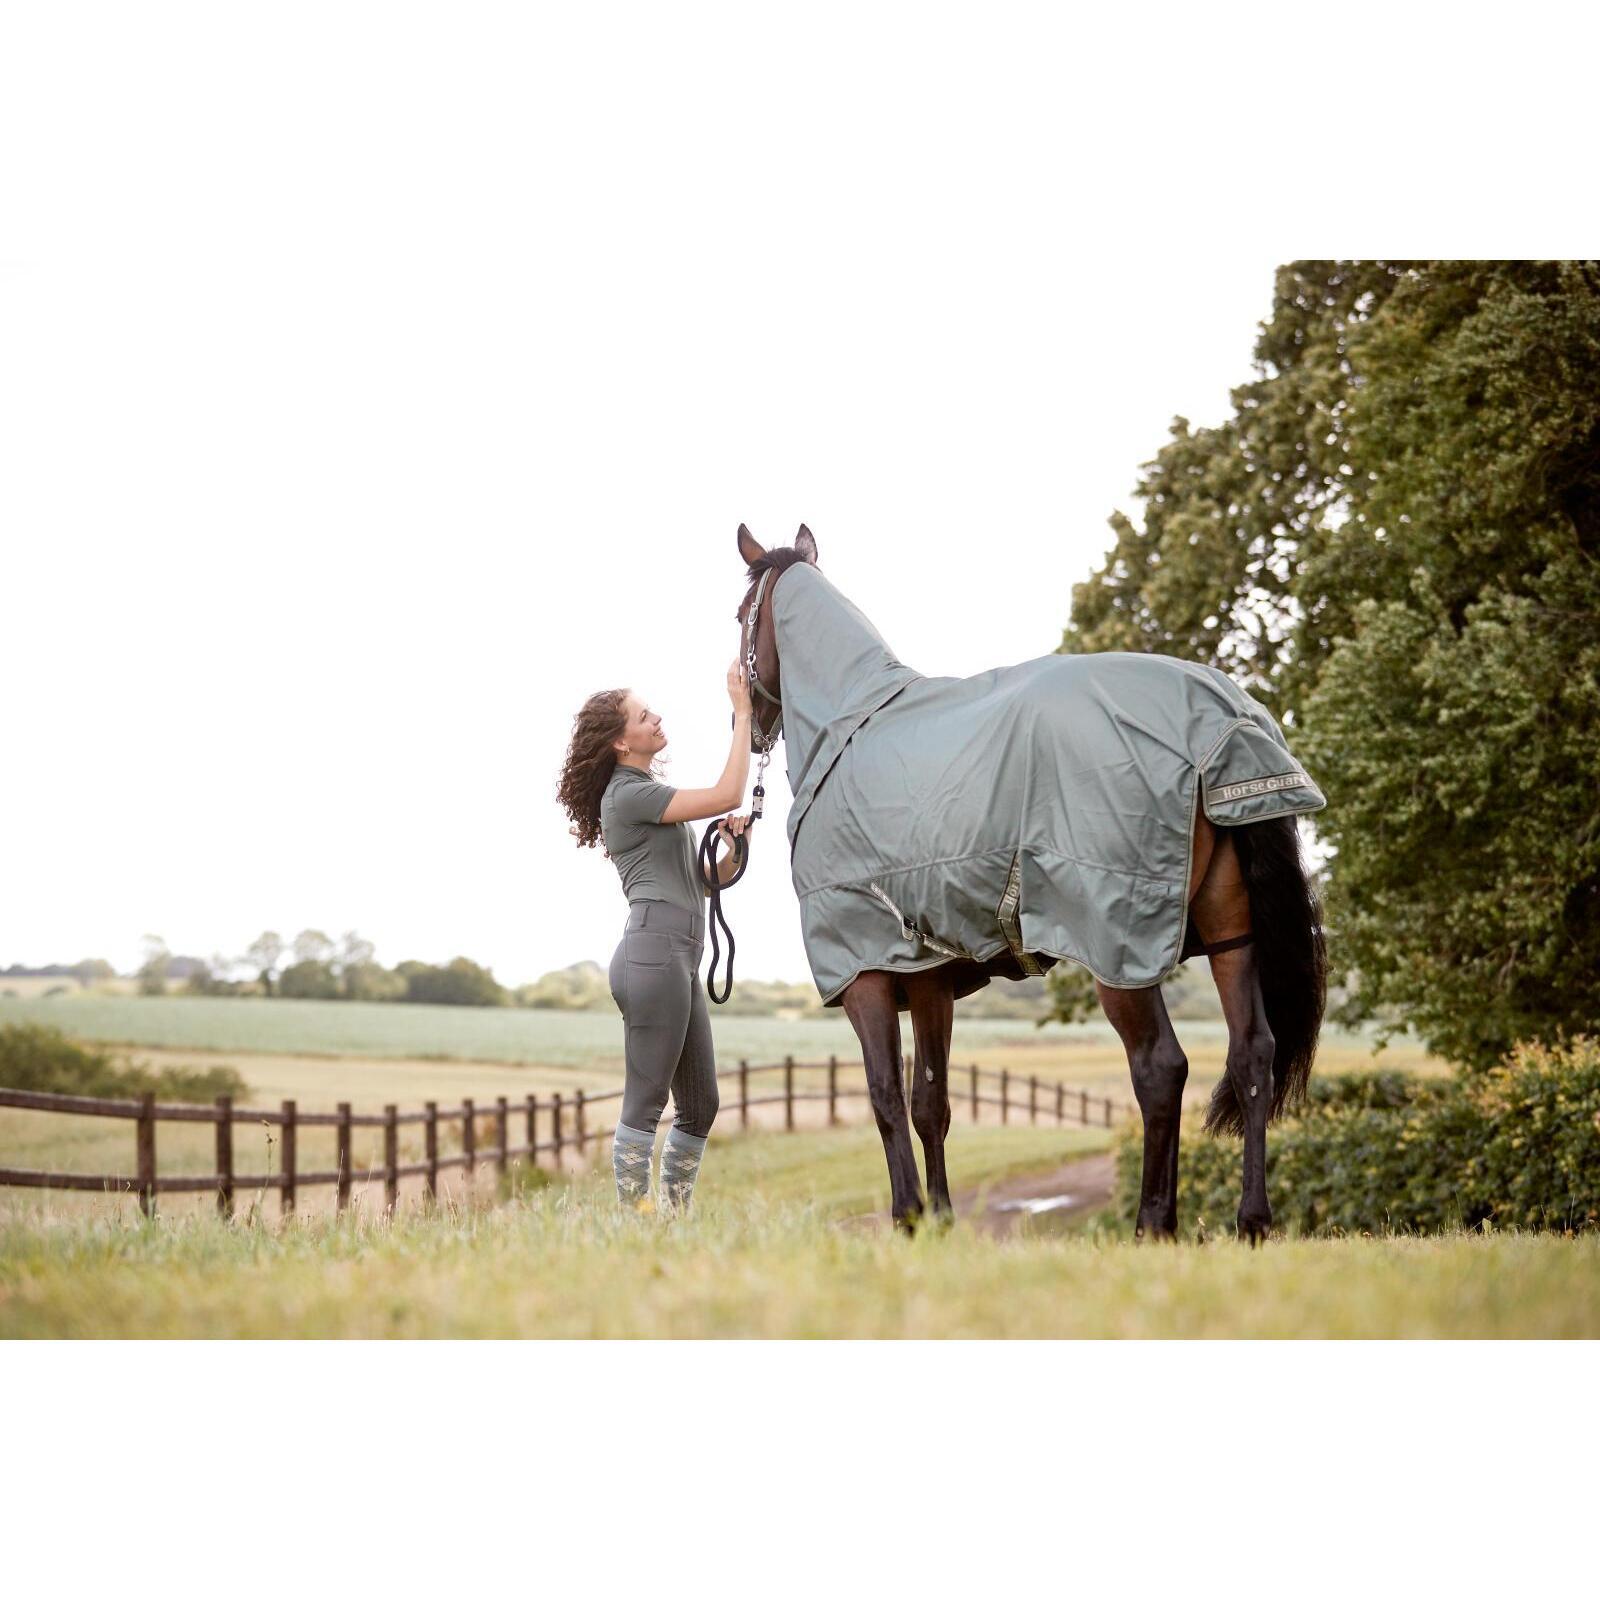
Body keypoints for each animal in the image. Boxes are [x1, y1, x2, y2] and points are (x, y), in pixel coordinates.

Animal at [733, 524, 1327, 1242]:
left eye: (740, 616)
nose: (747, 721)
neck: (851, 729)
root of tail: (1227, 718)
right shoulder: (929, 975)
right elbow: (929, 1100)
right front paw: (940, 1221)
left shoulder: (862, 970)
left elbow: (882, 1094)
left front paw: (908, 1218)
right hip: (1231, 936)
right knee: (1252, 1056)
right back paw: (1252, 1221)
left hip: (1118, 948)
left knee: (1160, 1068)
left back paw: (1153, 1225)